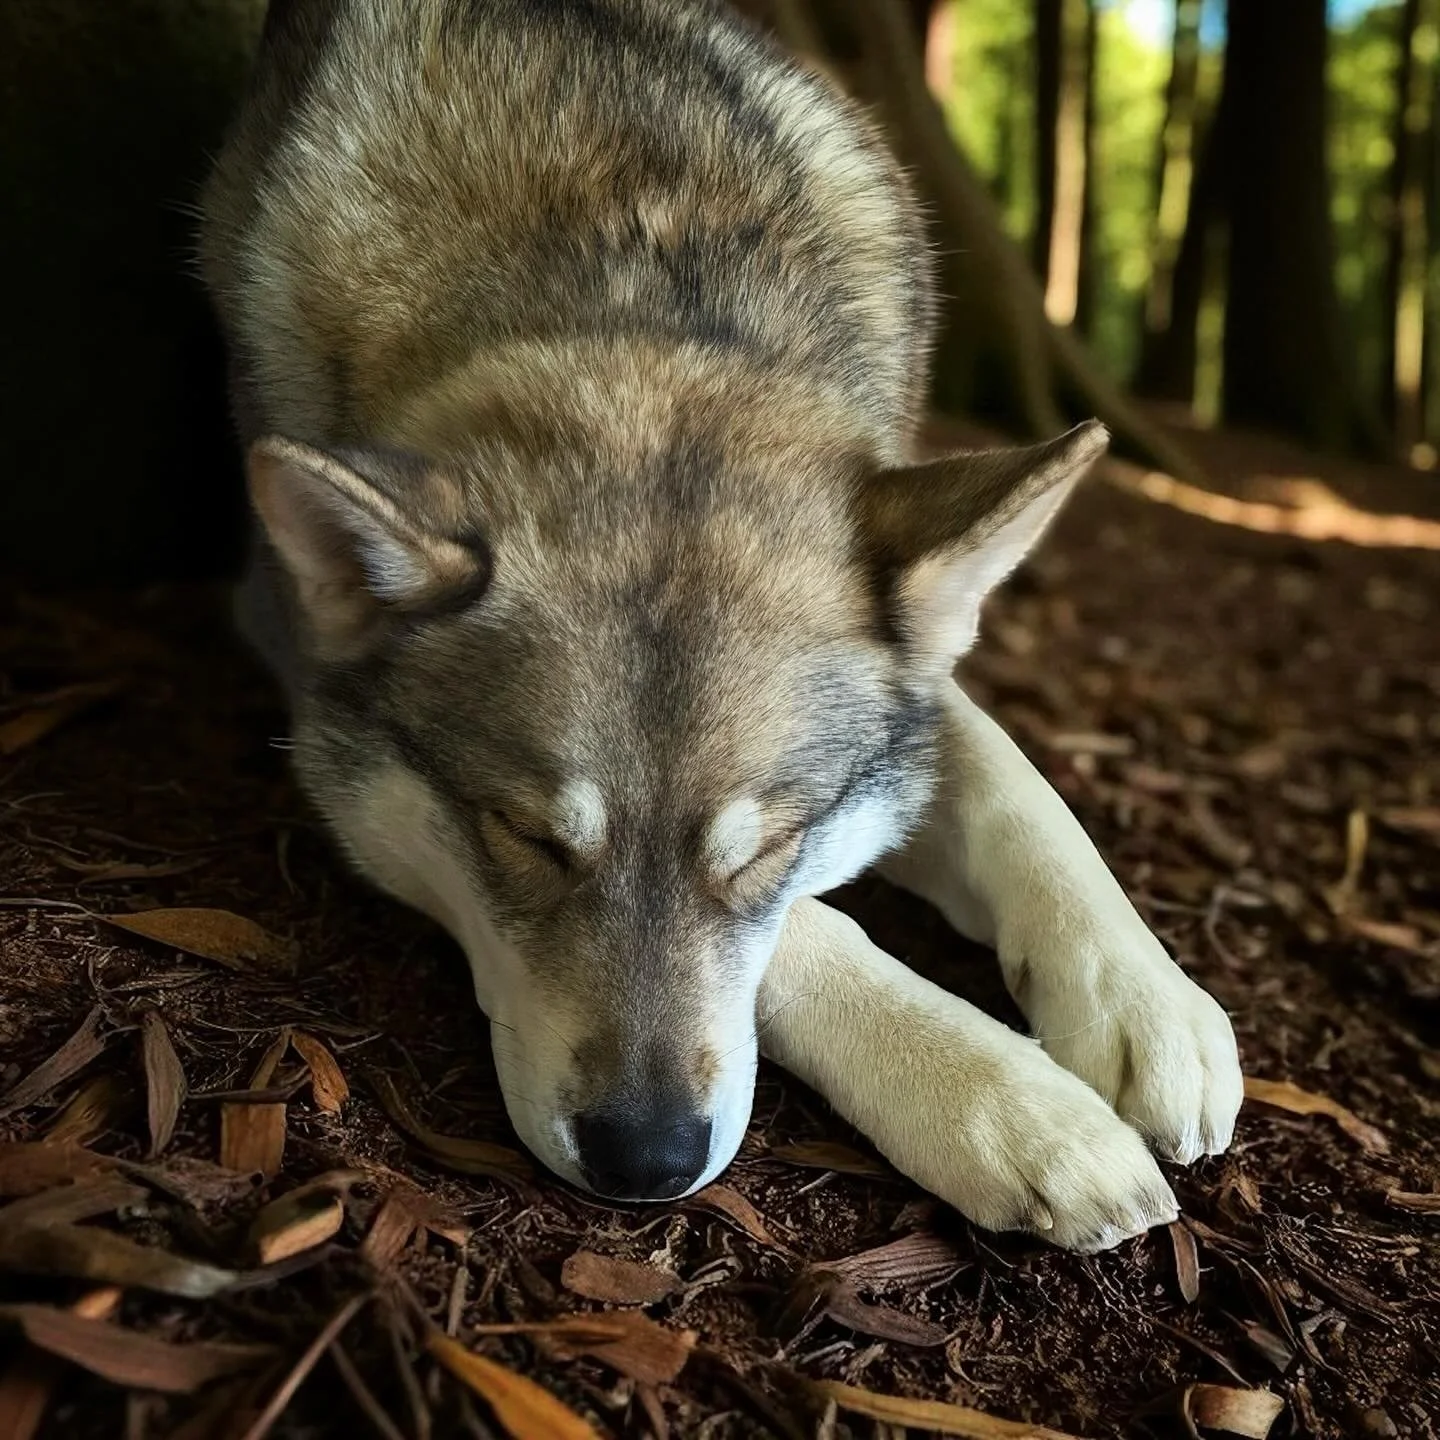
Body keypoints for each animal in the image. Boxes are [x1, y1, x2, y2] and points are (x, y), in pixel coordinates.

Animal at [200, 0, 1242, 1251]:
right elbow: (817, 936)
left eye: (769, 848)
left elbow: (1018, 788)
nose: (644, 1160)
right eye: (526, 838)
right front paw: (1019, 1105)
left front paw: (1148, 1002)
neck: (631, 258)